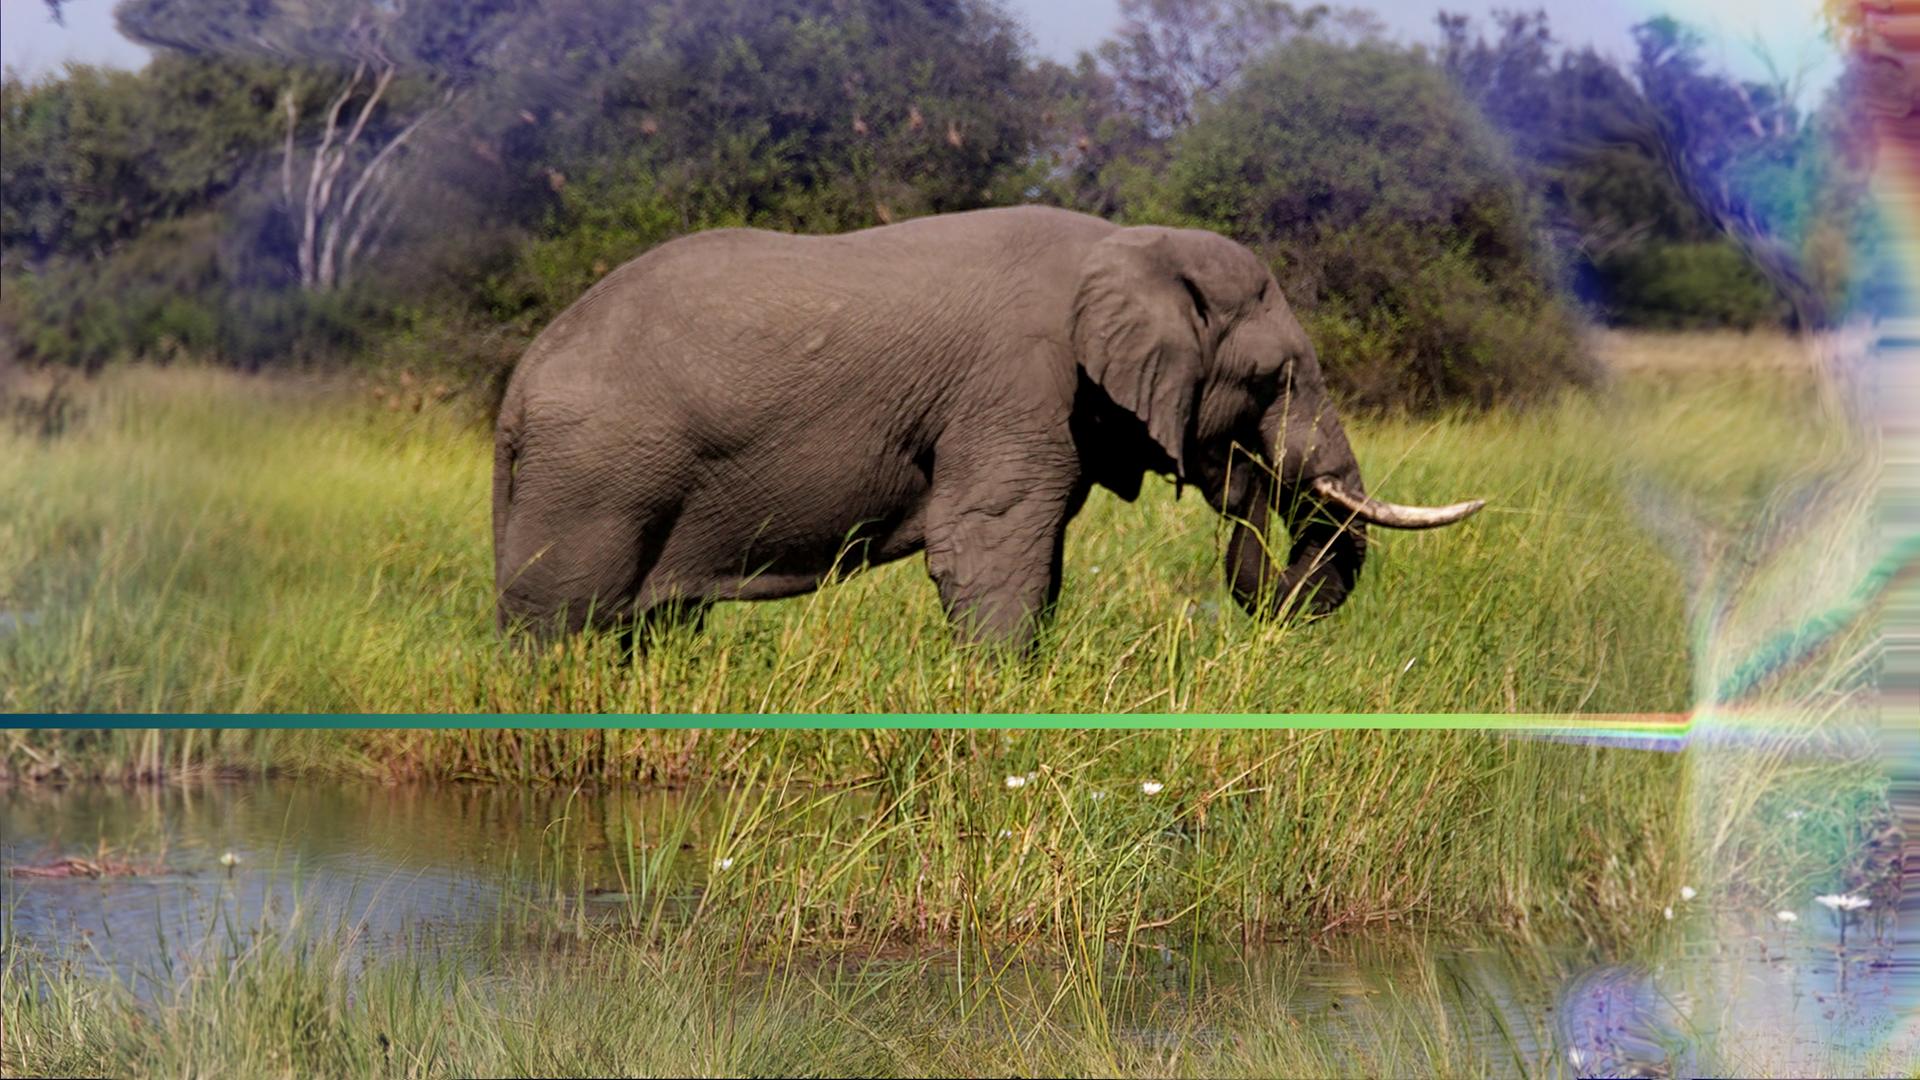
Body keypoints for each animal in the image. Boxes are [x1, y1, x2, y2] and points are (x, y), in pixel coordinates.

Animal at [492, 206, 1483, 650]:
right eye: (1275, 378)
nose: (1241, 480)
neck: (1130, 242)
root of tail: (517, 393)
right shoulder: (1017, 385)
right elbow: (990, 543)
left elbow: (1036, 556)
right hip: (598, 477)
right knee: (563, 622)